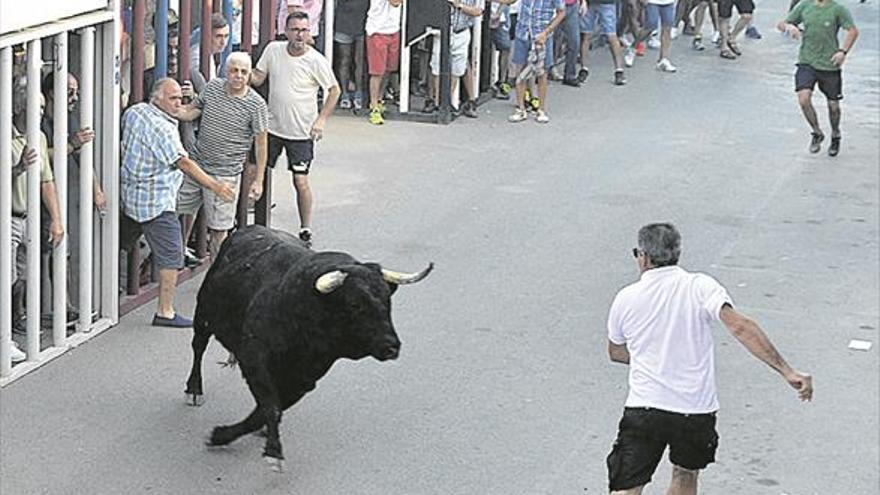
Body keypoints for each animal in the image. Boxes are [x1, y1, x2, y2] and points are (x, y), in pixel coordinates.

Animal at [186, 227, 434, 470]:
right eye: (355, 304)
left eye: (387, 301)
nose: (392, 346)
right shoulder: (254, 360)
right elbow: (271, 406)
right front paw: (272, 451)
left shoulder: (304, 380)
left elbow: (265, 410)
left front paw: (225, 435)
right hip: (203, 317)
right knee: (198, 347)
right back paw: (194, 390)